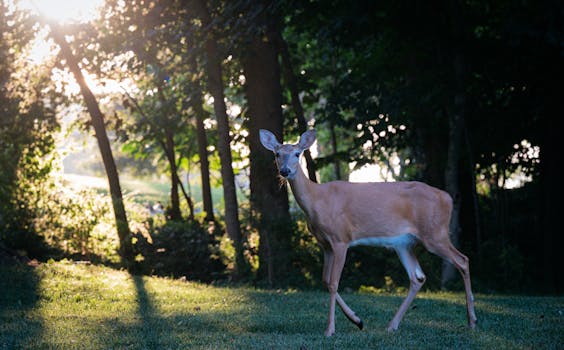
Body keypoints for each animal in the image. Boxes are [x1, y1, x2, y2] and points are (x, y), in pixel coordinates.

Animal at [260, 129, 476, 336]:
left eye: (297, 154)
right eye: (277, 154)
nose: (285, 171)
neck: (317, 201)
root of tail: (448, 198)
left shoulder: (341, 238)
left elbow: (334, 283)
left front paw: (330, 329)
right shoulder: (325, 244)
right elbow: (325, 280)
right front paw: (357, 320)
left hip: (435, 233)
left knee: (463, 260)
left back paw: (471, 320)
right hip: (404, 243)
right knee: (418, 277)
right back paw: (392, 325)